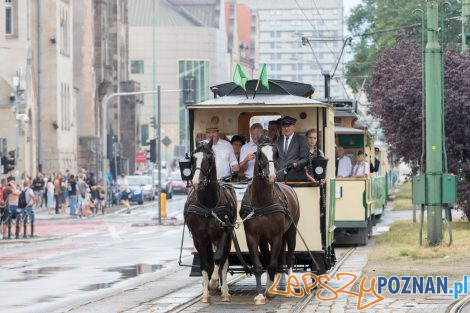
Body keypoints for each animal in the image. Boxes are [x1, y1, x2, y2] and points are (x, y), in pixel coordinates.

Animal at [183, 140, 237, 302]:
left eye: (209, 158)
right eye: (193, 158)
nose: (197, 182)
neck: (208, 205)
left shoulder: (223, 234)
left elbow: (218, 258)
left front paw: (213, 284)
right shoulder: (199, 238)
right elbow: (205, 263)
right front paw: (206, 293)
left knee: (224, 260)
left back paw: (224, 291)